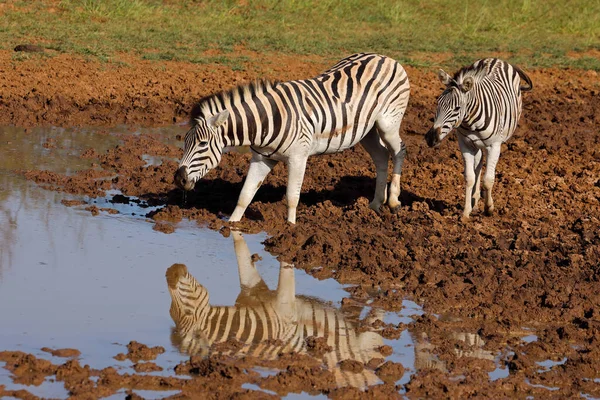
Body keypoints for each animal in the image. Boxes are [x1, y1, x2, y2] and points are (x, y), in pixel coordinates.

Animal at [166, 230, 386, 390]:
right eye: (170, 312)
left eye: (187, 313)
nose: (169, 272)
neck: (255, 323)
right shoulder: (249, 292)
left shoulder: (285, 305)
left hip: (369, 341)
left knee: (374, 323)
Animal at [172, 52, 408, 225]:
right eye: (185, 143)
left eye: (203, 144)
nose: (178, 179)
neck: (268, 120)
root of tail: (385, 57)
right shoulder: (262, 158)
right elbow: (245, 195)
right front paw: (231, 226)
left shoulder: (298, 157)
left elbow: (292, 197)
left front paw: (290, 230)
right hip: (366, 131)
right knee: (381, 156)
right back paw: (376, 204)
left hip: (388, 124)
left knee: (399, 151)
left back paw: (393, 201)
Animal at [424, 57, 532, 219]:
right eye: (438, 103)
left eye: (457, 108)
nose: (431, 138)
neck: (470, 122)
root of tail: (496, 59)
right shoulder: (465, 145)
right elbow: (469, 177)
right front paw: (466, 212)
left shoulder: (494, 146)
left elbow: (488, 180)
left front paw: (489, 208)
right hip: (477, 145)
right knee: (479, 165)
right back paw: (474, 199)